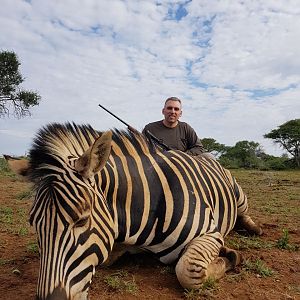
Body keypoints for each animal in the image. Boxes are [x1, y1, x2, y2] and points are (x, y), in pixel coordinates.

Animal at [5, 122, 262, 300]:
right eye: (33, 223)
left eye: (81, 220)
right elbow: (104, 258)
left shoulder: (209, 232)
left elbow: (189, 272)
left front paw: (230, 255)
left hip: (238, 195)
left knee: (244, 213)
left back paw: (253, 228)